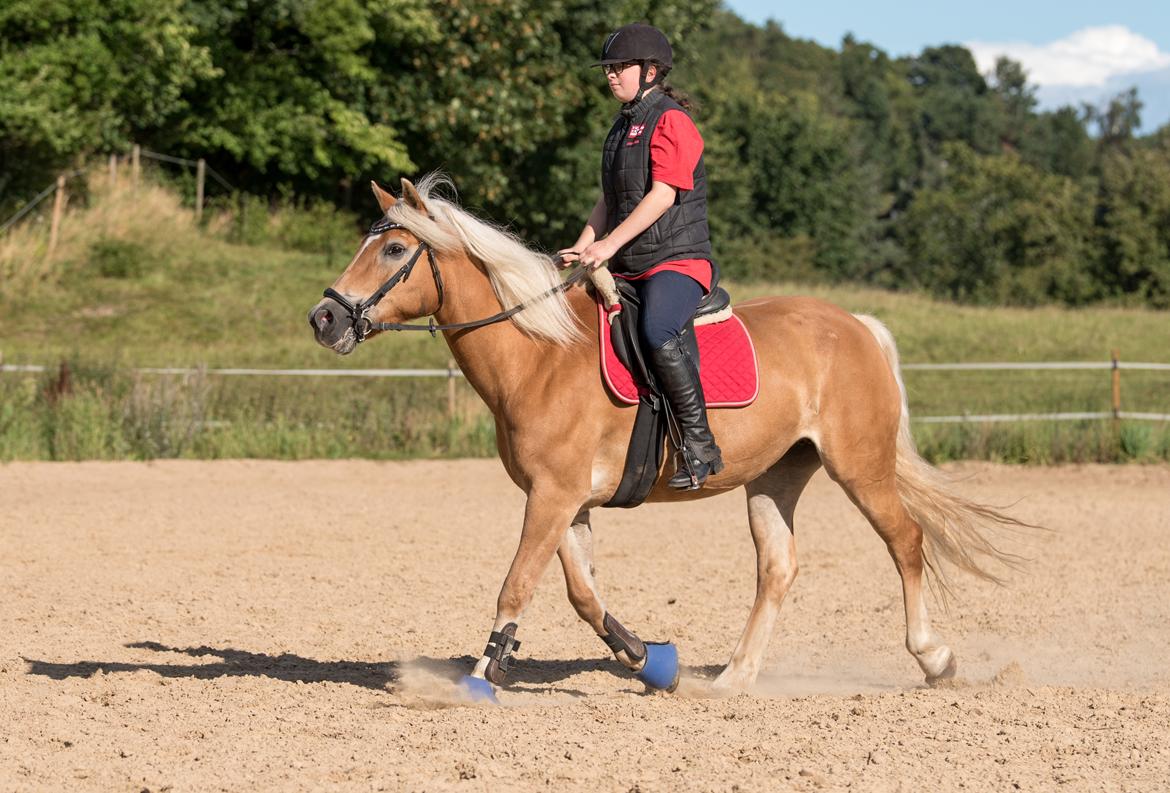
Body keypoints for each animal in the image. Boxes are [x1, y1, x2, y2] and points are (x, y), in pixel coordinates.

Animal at [306, 174, 1029, 701]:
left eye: (394, 250)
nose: (324, 318)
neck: (540, 356)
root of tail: (855, 325)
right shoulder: (562, 500)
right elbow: (582, 595)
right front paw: (651, 661)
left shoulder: (553, 497)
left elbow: (516, 585)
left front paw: (480, 680)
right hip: (776, 474)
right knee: (778, 566)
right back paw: (733, 678)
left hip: (860, 464)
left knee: (905, 540)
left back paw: (934, 658)